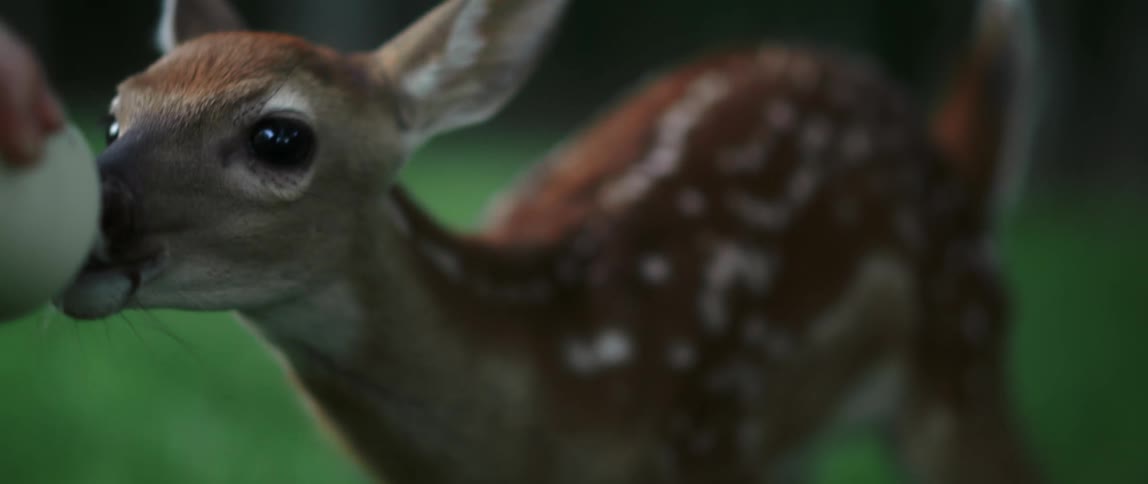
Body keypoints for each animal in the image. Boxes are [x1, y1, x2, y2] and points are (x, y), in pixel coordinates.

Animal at [51, 0, 1041, 482]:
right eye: (114, 114)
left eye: (279, 136)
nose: (89, 220)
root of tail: (949, 149)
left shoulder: (704, 444)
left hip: (961, 355)